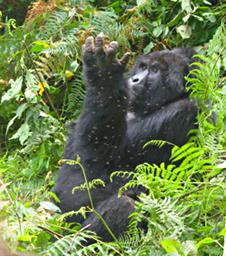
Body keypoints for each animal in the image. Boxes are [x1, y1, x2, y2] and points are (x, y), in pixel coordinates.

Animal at [53, 34, 197, 242]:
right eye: (143, 67)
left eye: (155, 70)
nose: (134, 79)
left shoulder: (184, 111)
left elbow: (95, 160)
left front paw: (103, 75)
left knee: (125, 205)